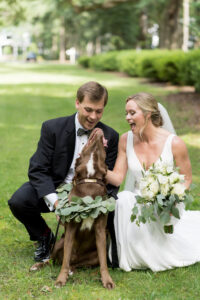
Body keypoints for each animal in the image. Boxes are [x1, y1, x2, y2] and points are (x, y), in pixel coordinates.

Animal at [29, 127, 114, 290]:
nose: (98, 129)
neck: (89, 179)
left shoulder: (100, 230)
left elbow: (103, 263)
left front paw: (107, 280)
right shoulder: (70, 229)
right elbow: (65, 260)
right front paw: (60, 280)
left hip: (94, 254)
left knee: (79, 264)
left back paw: (73, 270)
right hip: (59, 243)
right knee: (54, 260)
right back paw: (39, 265)